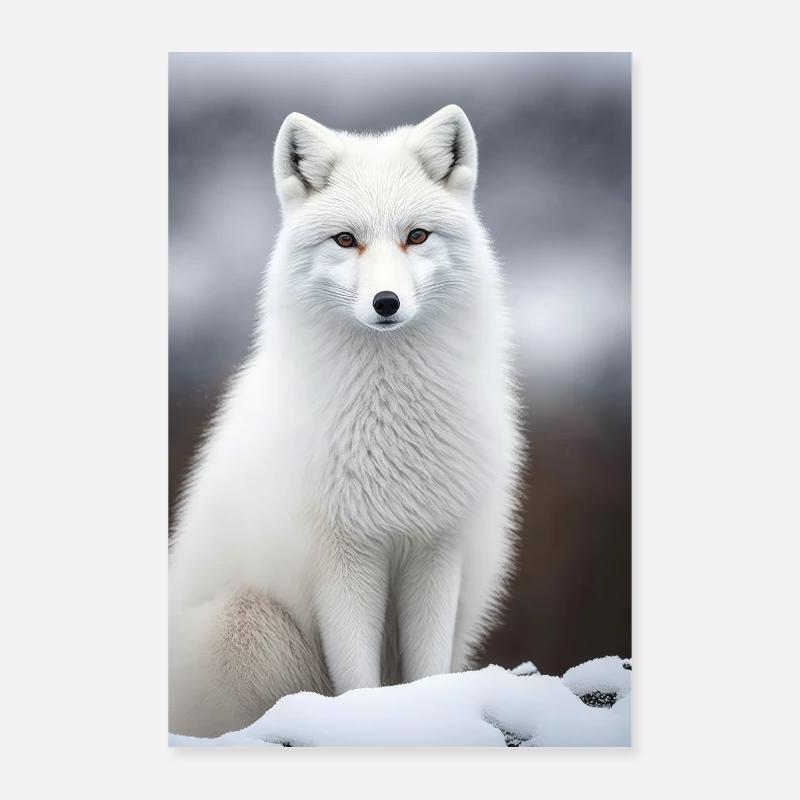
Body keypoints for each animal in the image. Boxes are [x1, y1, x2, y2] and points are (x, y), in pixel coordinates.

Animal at [168, 105, 524, 737]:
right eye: (346, 239)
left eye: (416, 235)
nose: (386, 303)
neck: (392, 423)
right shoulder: (343, 556)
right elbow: (356, 677)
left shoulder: (435, 548)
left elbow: (428, 668)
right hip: (250, 624)